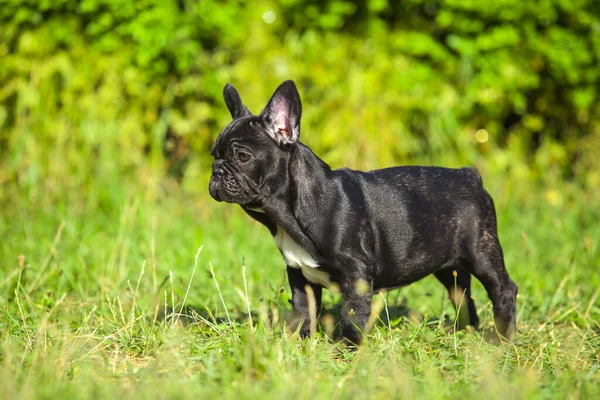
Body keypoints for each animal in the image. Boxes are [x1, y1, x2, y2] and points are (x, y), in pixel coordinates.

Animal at [209, 80, 516, 344]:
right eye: (214, 155)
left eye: (243, 156)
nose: (217, 171)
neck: (289, 215)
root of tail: (469, 175)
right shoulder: (299, 276)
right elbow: (304, 311)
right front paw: (301, 343)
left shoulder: (355, 274)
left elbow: (352, 315)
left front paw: (346, 349)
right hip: (447, 264)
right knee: (461, 292)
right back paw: (464, 331)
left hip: (481, 251)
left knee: (502, 289)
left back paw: (502, 339)